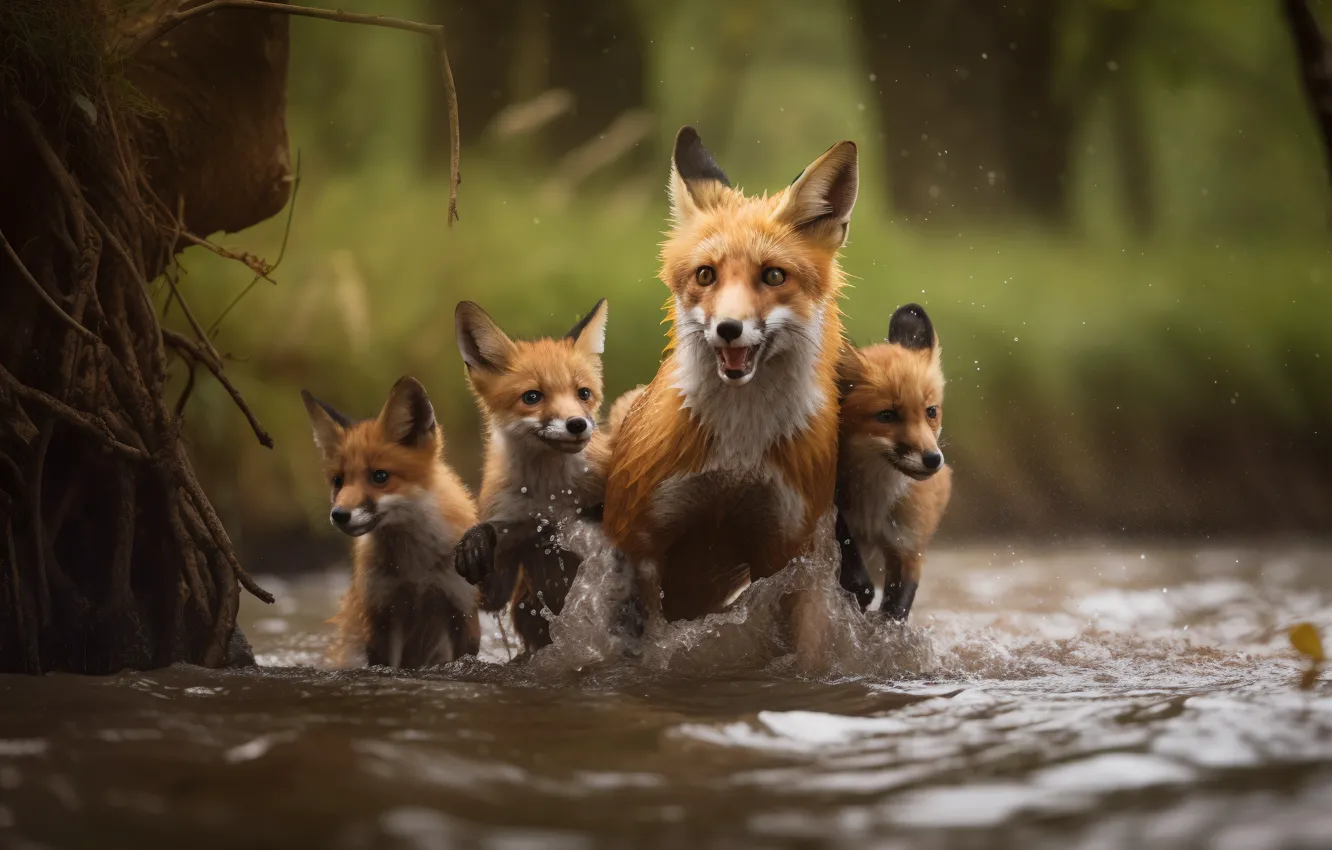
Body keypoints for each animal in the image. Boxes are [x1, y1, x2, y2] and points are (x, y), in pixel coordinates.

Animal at [300, 377, 481, 668]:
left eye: (380, 476)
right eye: (338, 481)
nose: (339, 514)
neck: (414, 570)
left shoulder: (461, 610)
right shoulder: (382, 617)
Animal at [452, 299, 611, 654]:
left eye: (583, 393)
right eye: (532, 397)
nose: (578, 424)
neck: (549, 496)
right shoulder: (511, 531)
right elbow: (488, 588)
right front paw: (474, 541)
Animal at [603, 127, 858, 654]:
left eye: (774, 275)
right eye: (706, 274)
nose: (728, 329)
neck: (738, 450)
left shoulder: (785, 553)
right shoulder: (639, 541)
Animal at [835, 303, 952, 621]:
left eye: (931, 411)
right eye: (887, 415)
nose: (932, 459)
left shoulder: (909, 547)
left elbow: (896, 611)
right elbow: (846, 548)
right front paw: (857, 588)